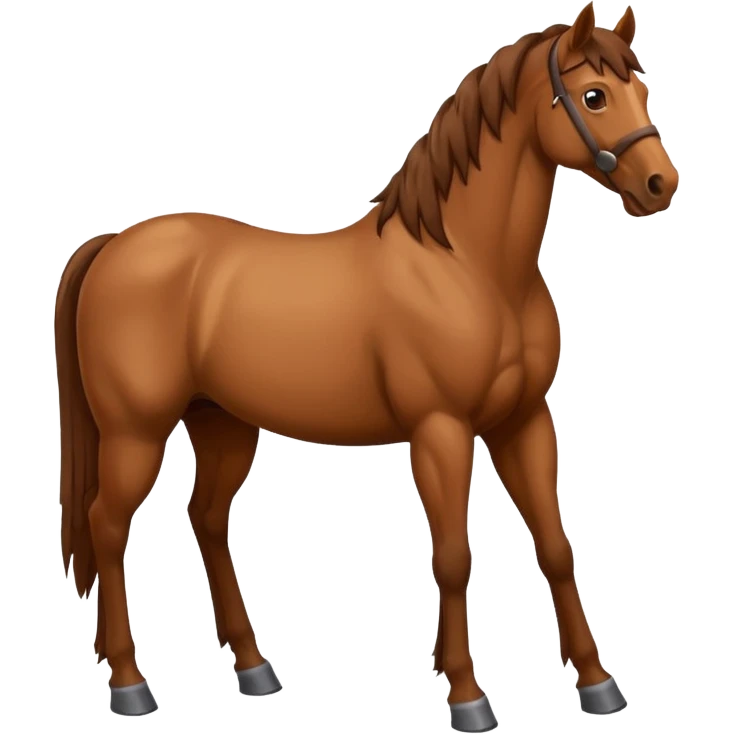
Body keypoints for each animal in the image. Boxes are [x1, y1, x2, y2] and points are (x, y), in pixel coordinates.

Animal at [55, 3, 677, 730]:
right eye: (594, 96)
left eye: (643, 90)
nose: (660, 186)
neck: (468, 264)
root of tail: (112, 244)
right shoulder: (441, 430)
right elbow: (452, 556)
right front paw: (466, 695)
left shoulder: (523, 422)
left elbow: (554, 546)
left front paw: (597, 684)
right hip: (136, 431)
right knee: (107, 525)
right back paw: (129, 683)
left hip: (222, 424)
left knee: (204, 518)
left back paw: (253, 668)